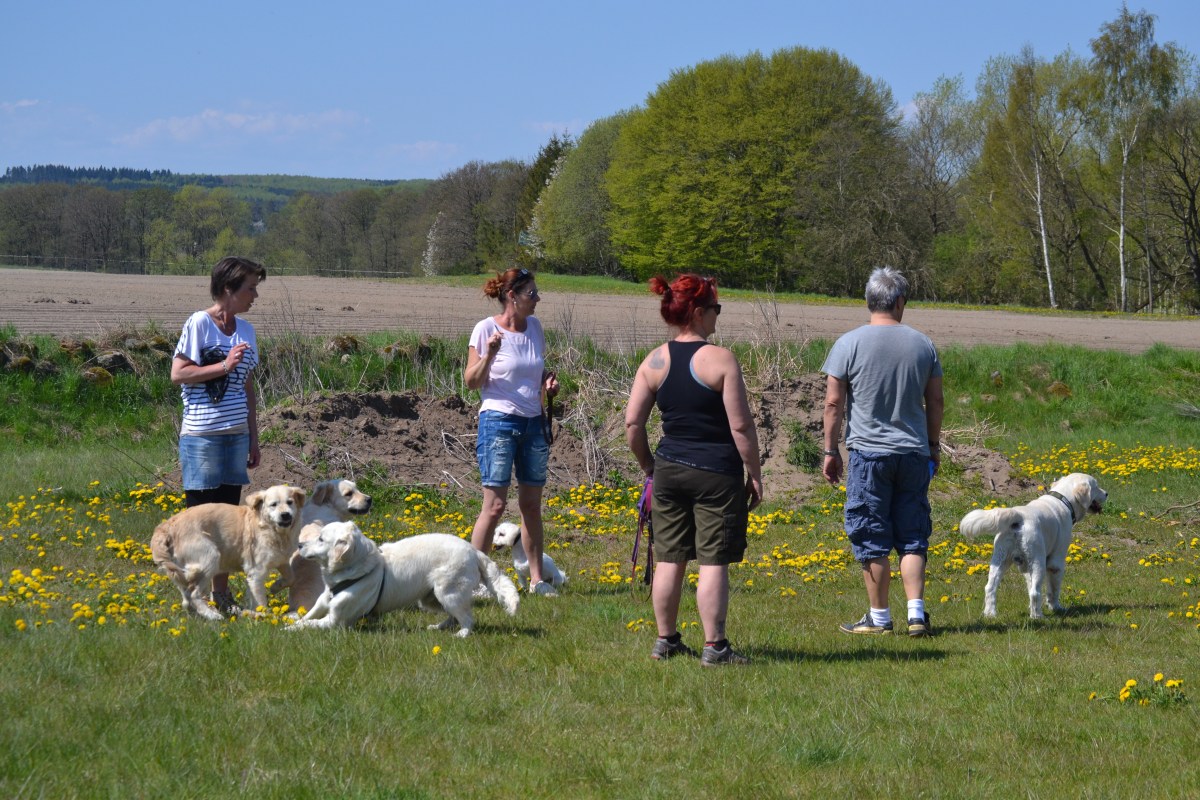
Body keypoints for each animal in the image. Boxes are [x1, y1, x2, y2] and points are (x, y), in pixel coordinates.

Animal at [150, 484, 306, 620]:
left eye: (290, 502)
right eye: (273, 504)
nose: (285, 515)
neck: (274, 531)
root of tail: (167, 525)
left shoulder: (282, 561)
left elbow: (291, 578)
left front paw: (275, 586)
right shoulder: (256, 572)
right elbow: (260, 601)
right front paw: (265, 616)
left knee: (186, 599)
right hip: (210, 557)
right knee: (192, 594)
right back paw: (212, 615)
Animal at [289, 521, 519, 636]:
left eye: (321, 539)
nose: (299, 545)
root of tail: (474, 551)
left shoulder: (336, 621)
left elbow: (310, 624)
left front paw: (289, 630)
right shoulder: (323, 601)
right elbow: (307, 616)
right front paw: (290, 622)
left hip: (448, 592)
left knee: (468, 619)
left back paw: (461, 634)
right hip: (431, 598)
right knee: (454, 617)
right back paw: (438, 628)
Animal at [959, 472, 1107, 619]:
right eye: (1096, 486)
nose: (1106, 493)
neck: (1064, 500)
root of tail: (1018, 516)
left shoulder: (1025, 567)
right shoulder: (1056, 563)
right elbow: (1053, 591)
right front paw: (1056, 608)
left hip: (1000, 561)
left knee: (990, 588)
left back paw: (990, 614)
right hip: (1038, 563)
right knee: (1035, 593)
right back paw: (1037, 616)